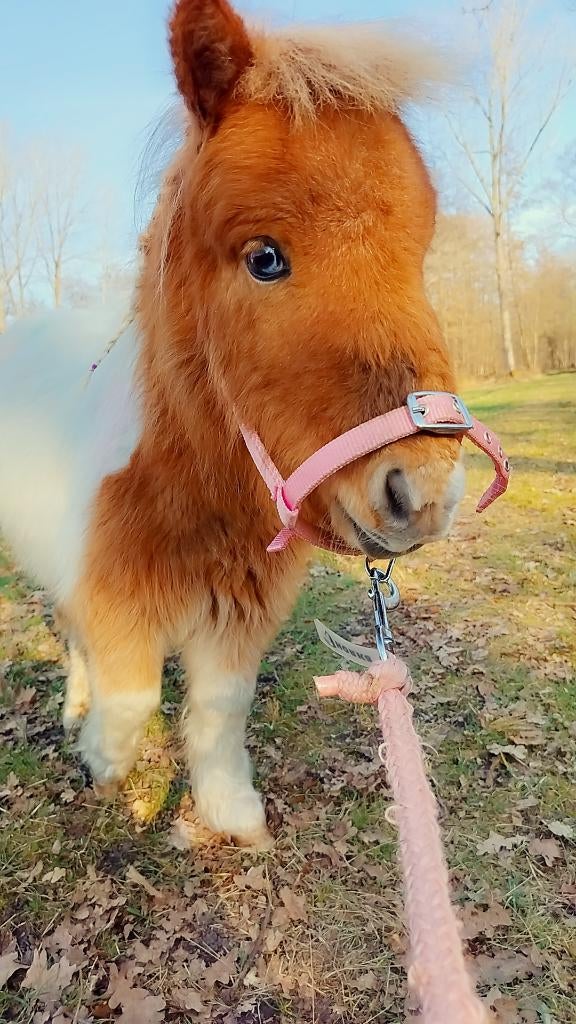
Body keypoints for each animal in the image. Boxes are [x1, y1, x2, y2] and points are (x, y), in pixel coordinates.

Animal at [0, 0, 466, 850]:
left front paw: (230, 814)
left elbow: (219, 711)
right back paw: (76, 711)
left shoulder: (236, 621)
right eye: (264, 258)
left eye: (418, 254)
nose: (421, 495)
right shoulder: (113, 603)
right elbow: (131, 697)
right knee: (75, 644)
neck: (187, 490)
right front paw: (105, 763)